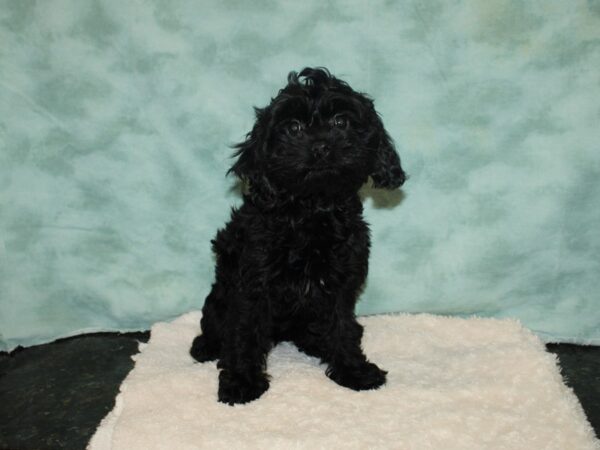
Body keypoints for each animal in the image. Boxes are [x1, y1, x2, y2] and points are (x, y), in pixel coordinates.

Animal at [191, 67, 408, 408]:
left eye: (341, 122)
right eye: (293, 128)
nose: (321, 147)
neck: (311, 211)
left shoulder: (340, 282)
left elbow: (342, 327)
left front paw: (353, 370)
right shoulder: (252, 283)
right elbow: (243, 333)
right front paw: (241, 382)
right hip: (219, 296)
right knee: (215, 323)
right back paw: (206, 346)